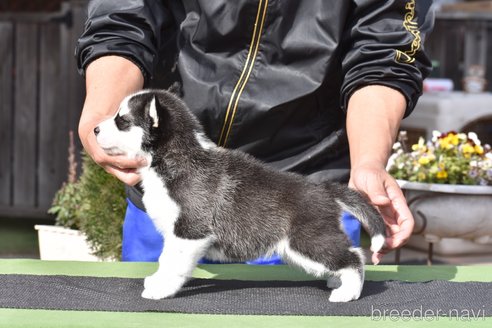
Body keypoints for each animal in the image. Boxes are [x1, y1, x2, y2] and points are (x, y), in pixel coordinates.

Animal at [95, 89, 388, 302]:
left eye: (122, 121)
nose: (95, 129)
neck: (175, 158)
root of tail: (324, 188)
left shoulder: (189, 231)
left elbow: (172, 262)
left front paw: (161, 288)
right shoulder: (178, 234)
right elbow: (164, 259)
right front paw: (158, 280)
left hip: (307, 241)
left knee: (354, 257)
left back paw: (348, 292)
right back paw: (336, 280)